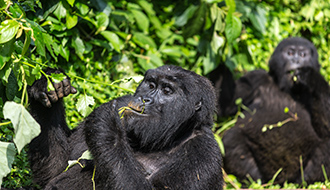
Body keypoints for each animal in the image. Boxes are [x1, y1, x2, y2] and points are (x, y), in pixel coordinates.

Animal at [27, 64, 223, 189]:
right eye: (151, 85)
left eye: (167, 91)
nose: (145, 99)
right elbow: (57, 169)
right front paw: (48, 85)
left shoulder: (204, 154)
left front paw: (108, 127)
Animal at [214, 36, 330, 184]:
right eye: (290, 53)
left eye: (303, 55)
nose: (296, 61)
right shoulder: (256, 78)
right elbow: (223, 105)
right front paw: (220, 55)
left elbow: (326, 126)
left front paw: (311, 77)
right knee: (232, 138)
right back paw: (254, 179)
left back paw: (303, 181)